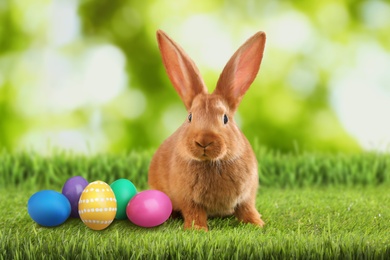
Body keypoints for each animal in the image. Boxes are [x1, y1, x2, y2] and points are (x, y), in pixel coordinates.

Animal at [148, 29, 266, 231]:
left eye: (225, 118)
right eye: (190, 117)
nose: (204, 141)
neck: (212, 163)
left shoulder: (247, 196)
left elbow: (247, 209)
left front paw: (257, 225)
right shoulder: (188, 199)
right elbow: (194, 213)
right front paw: (198, 230)